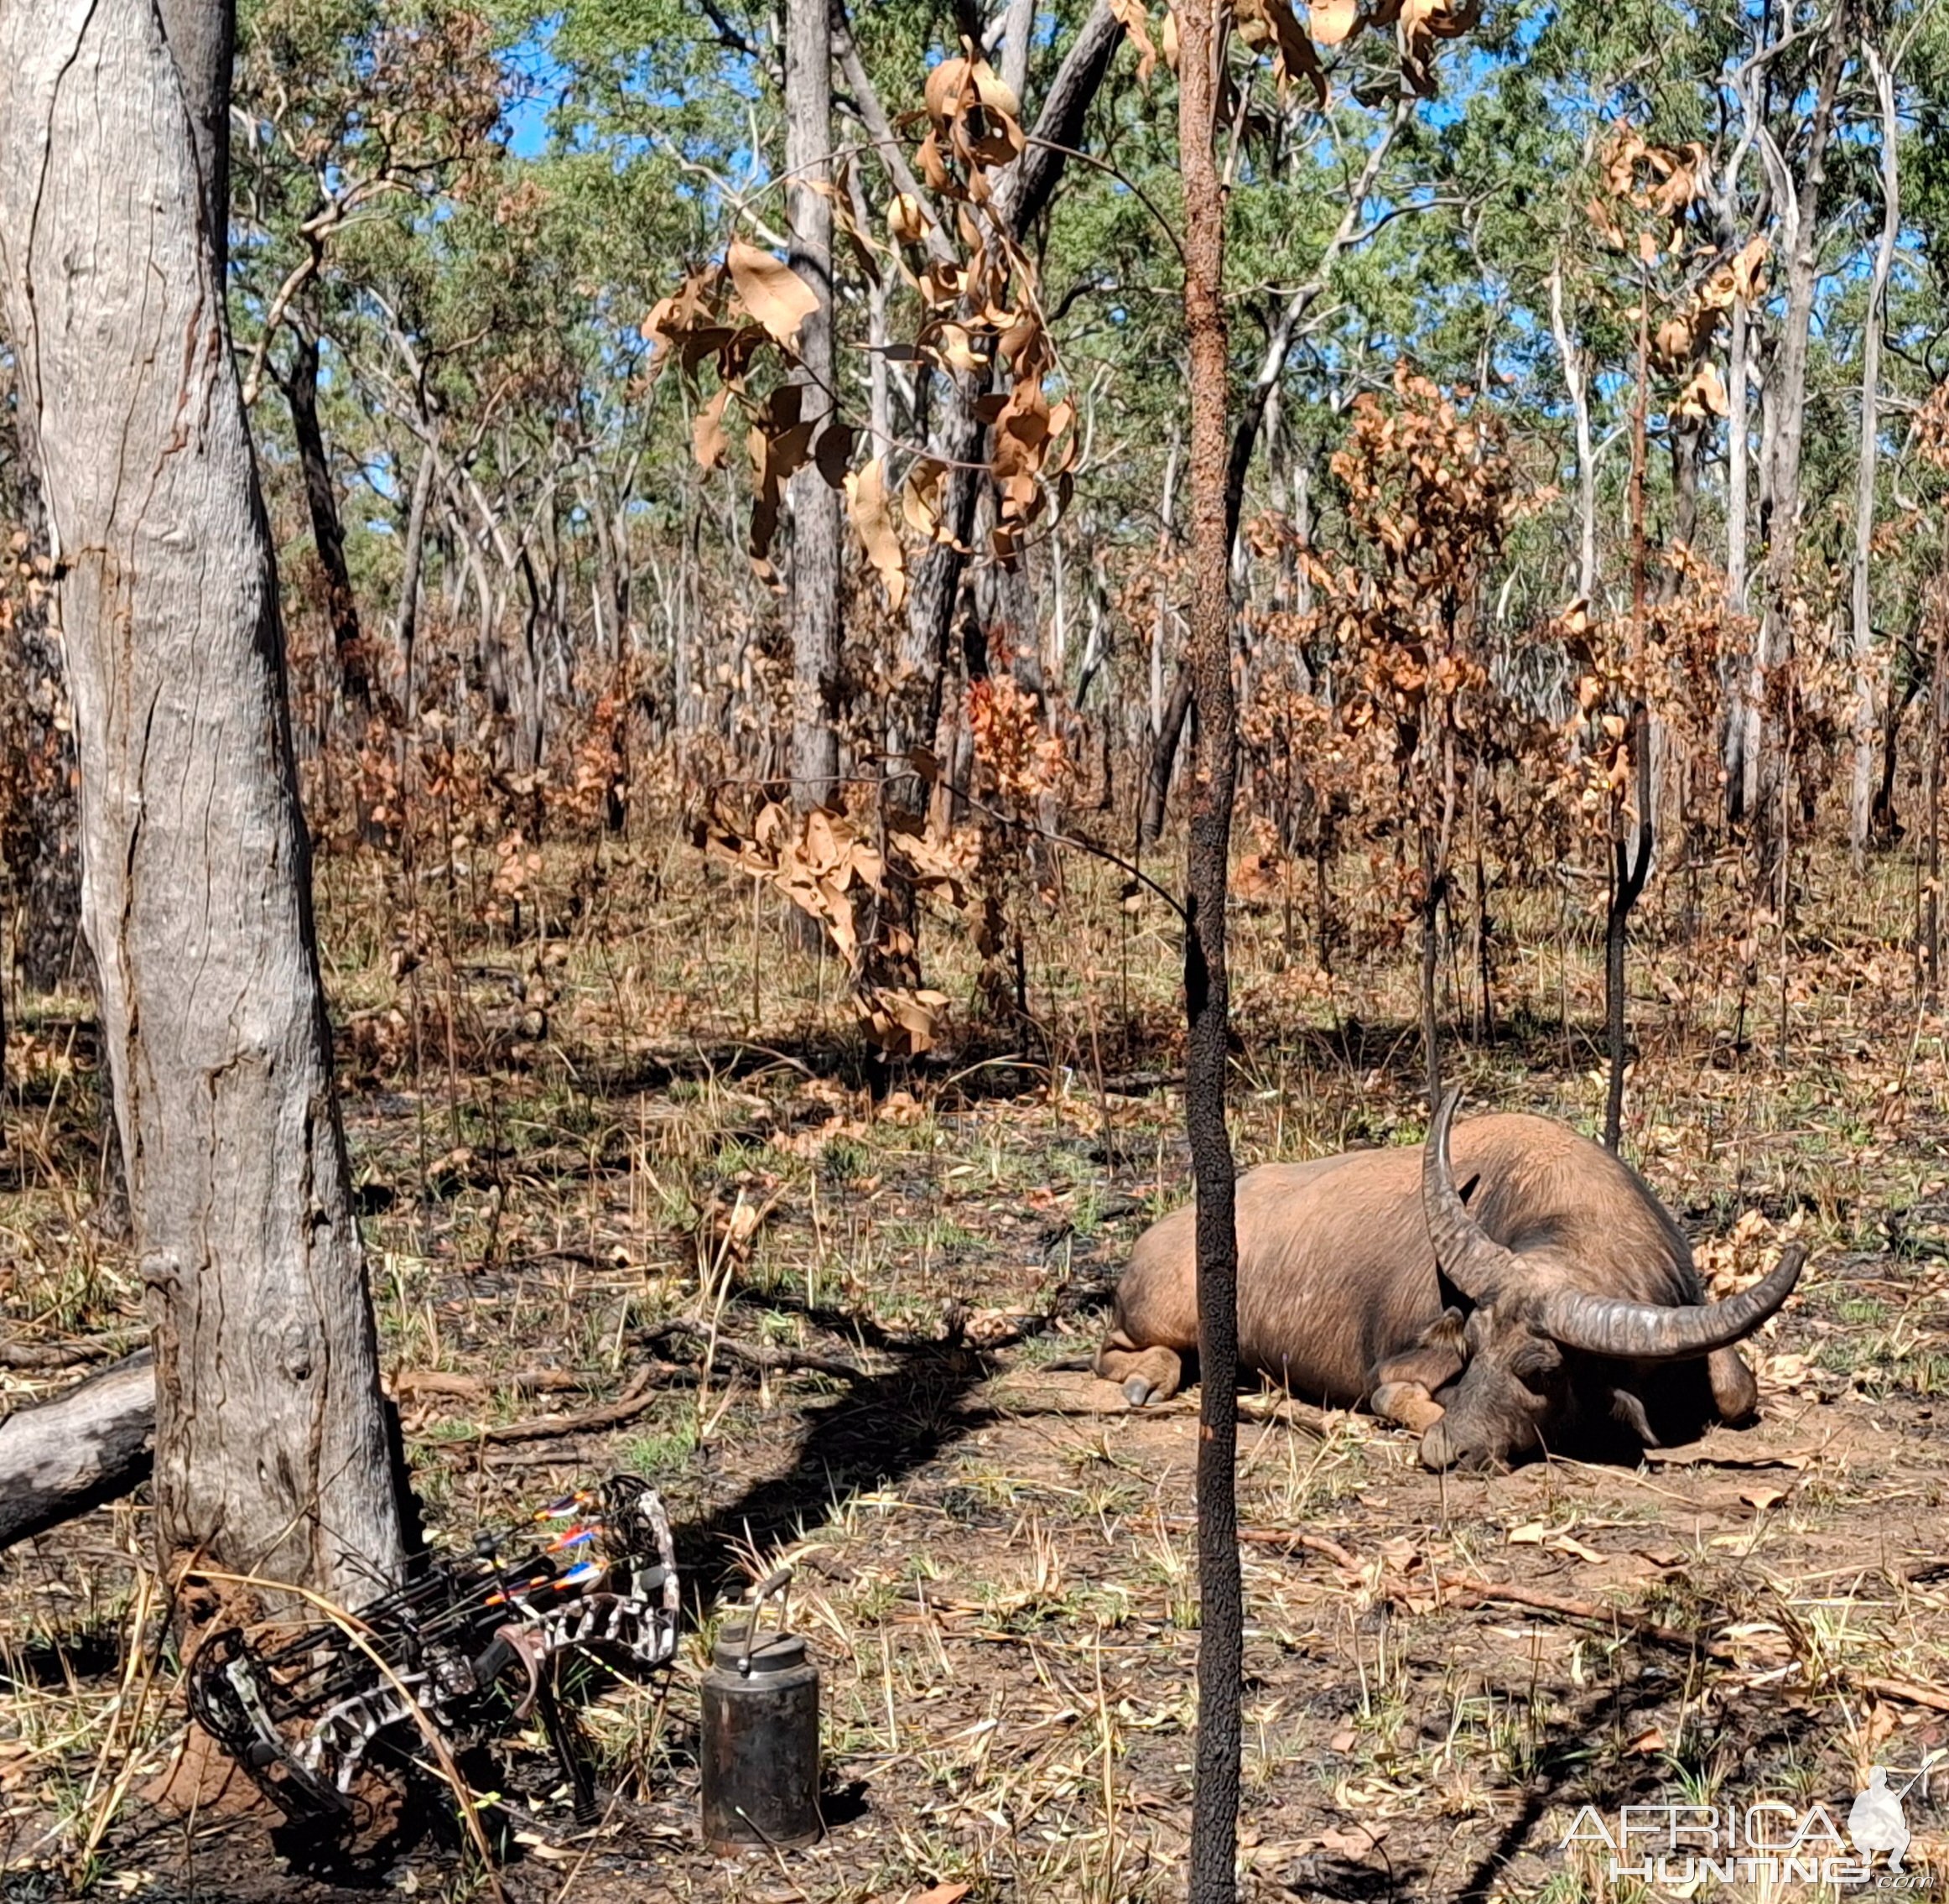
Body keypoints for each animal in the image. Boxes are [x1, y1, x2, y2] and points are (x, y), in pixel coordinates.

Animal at [1091, 1083, 1801, 1473]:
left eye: (1542, 1371)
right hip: (1162, 1317)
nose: (1446, 1453)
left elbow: (1738, 1390)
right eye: (1472, 1347)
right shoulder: (1401, 1367)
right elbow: (1392, 1394)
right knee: (1115, 1353)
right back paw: (1145, 1379)